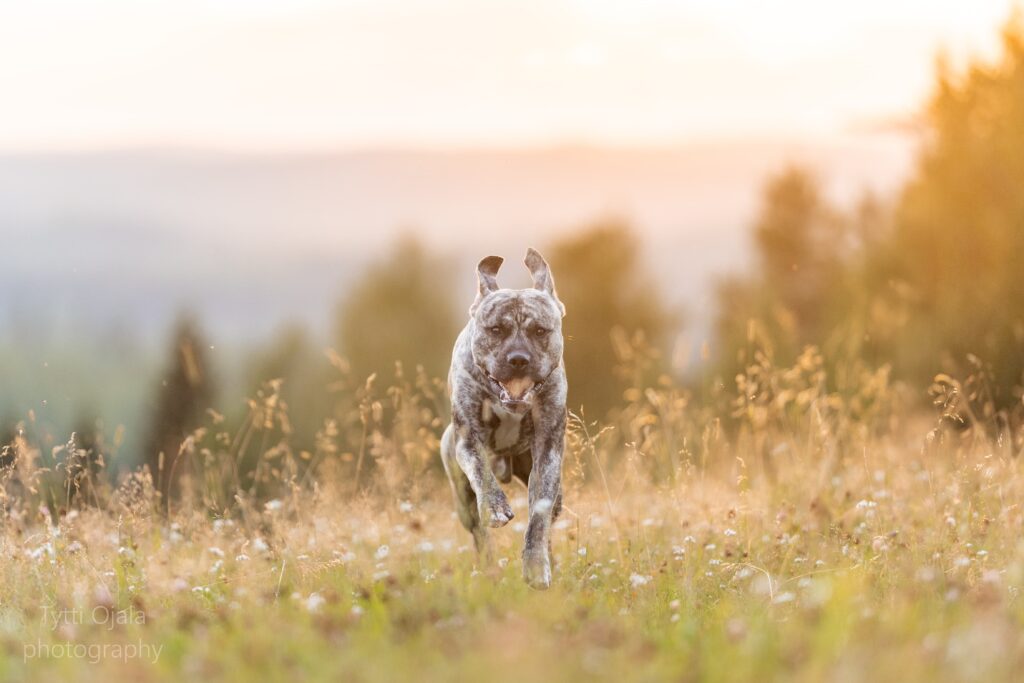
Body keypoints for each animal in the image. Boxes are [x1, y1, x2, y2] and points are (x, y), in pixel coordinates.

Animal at [440, 248, 569, 589]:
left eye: (540, 331)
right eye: (495, 330)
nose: (518, 359)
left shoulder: (548, 450)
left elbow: (539, 517)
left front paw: (536, 566)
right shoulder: (468, 440)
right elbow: (481, 471)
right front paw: (495, 506)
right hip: (461, 496)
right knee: (480, 535)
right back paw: (488, 568)